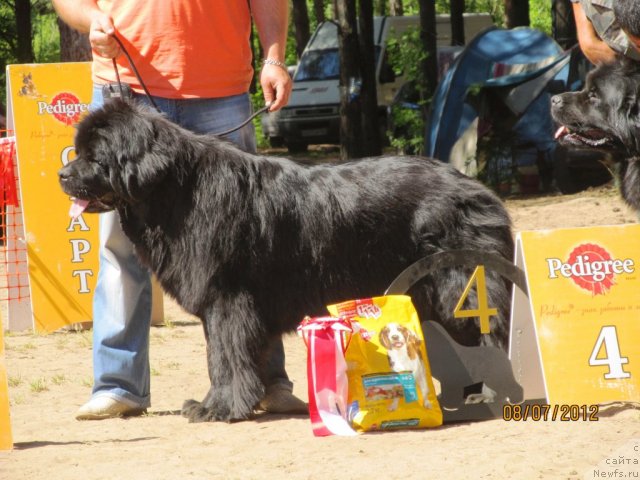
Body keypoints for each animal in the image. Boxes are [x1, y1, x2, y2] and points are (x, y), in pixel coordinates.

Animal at [57, 99, 512, 422]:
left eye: (95, 156)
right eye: (77, 152)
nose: (62, 174)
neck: (177, 193)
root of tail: (476, 187)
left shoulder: (228, 300)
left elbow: (225, 357)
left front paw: (219, 408)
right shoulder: (229, 306)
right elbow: (225, 356)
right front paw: (225, 402)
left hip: (461, 286)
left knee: (491, 332)